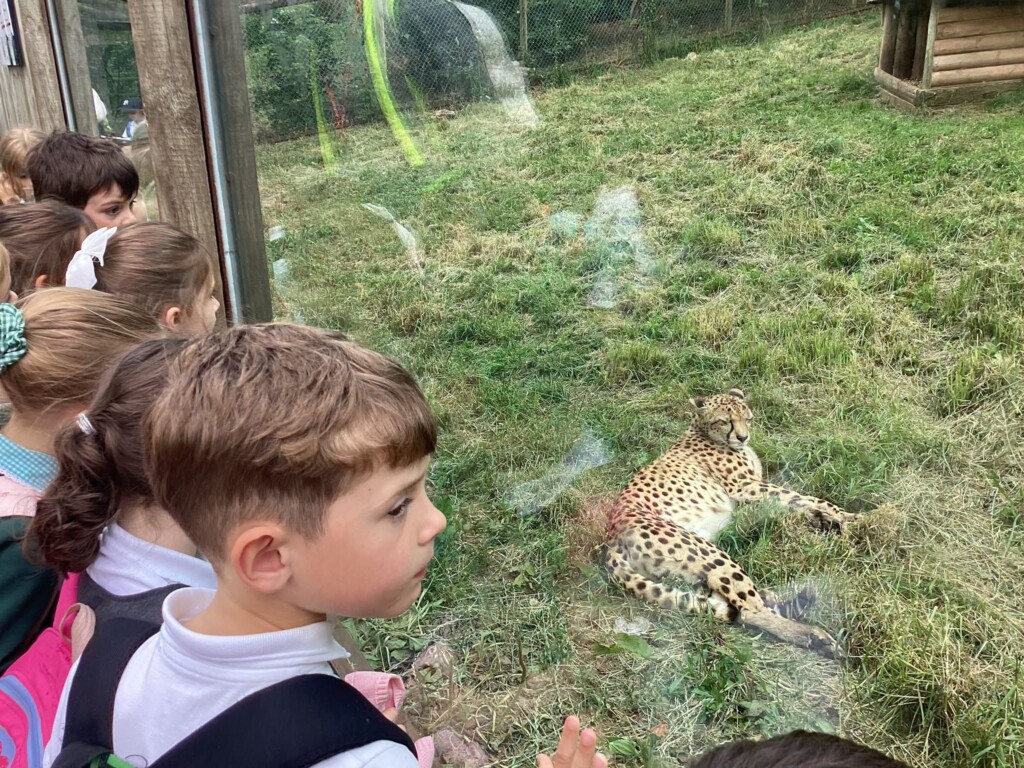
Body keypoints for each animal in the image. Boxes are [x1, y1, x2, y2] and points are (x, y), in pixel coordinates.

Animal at [604, 388, 857, 657]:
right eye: (725, 421)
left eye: (747, 418)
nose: (743, 437)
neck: (703, 431)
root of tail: (611, 537)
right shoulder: (746, 486)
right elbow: (799, 497)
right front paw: (851, 518)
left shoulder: (749, 498)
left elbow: (792, 504)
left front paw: (828, 519)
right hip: (708, 554)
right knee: (748, 610)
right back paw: (813, 636)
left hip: (681, 570)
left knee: (727, 600)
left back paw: (784, 596)